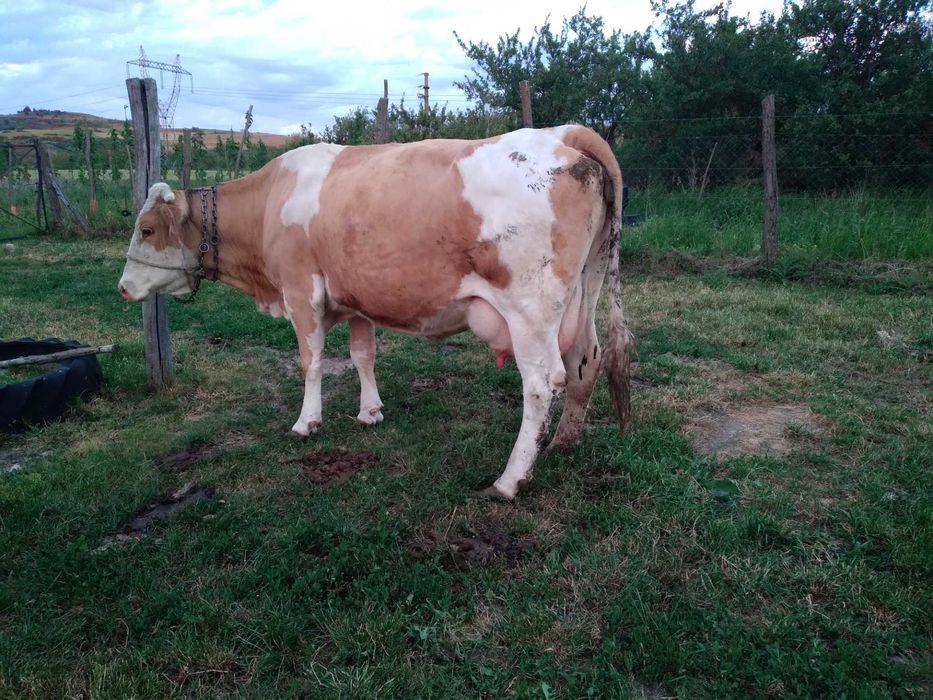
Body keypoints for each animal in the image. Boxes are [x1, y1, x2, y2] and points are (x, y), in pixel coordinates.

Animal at [118, 126, 634, 499]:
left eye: (147, 230)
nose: (122, 288)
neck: (269, 202)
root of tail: (562, 135)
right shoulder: (356, 298)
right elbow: (362, 355)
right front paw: (370, 412)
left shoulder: (301, 290)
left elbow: (311, 362)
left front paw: (307, 422)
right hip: (583, 292)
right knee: (585, 361)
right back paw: (562, 445)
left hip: (529, 310)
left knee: (542, 383)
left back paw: (510, 480)